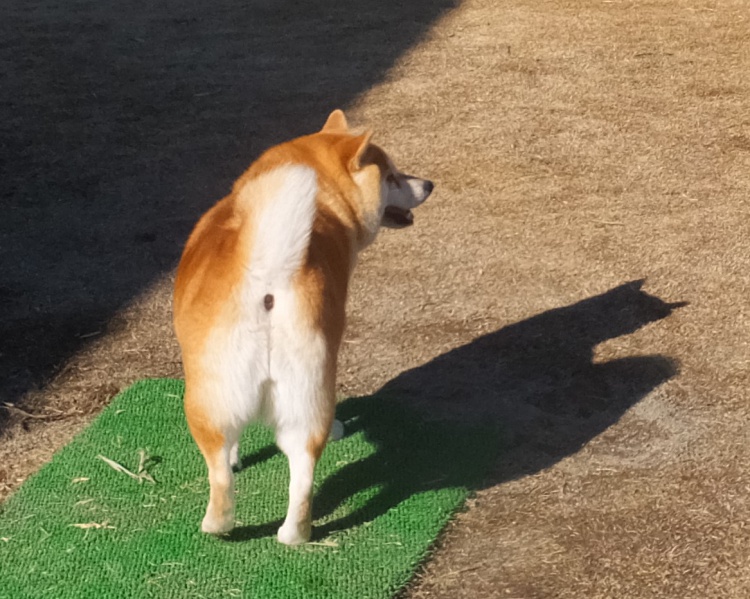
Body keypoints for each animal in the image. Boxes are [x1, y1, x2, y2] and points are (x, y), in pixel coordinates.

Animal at [173, 109, 433, 544]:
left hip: (208, 402)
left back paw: (217, 527)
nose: (429, 184)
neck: (325, 203)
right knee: (302, 474)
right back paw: (292, 533)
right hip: (294, 396)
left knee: (221, 475)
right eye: (393, 177)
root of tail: (267, 277)